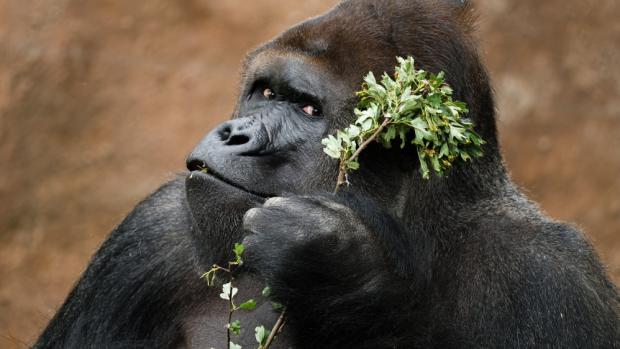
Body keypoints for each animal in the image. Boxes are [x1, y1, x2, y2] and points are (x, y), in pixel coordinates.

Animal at [35, 0, 620, 348]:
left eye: (308, 108)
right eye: (265, 92)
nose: (234, 133)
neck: (423, 226)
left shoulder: (553, 277)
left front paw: (341, 267)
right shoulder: (150, 238)